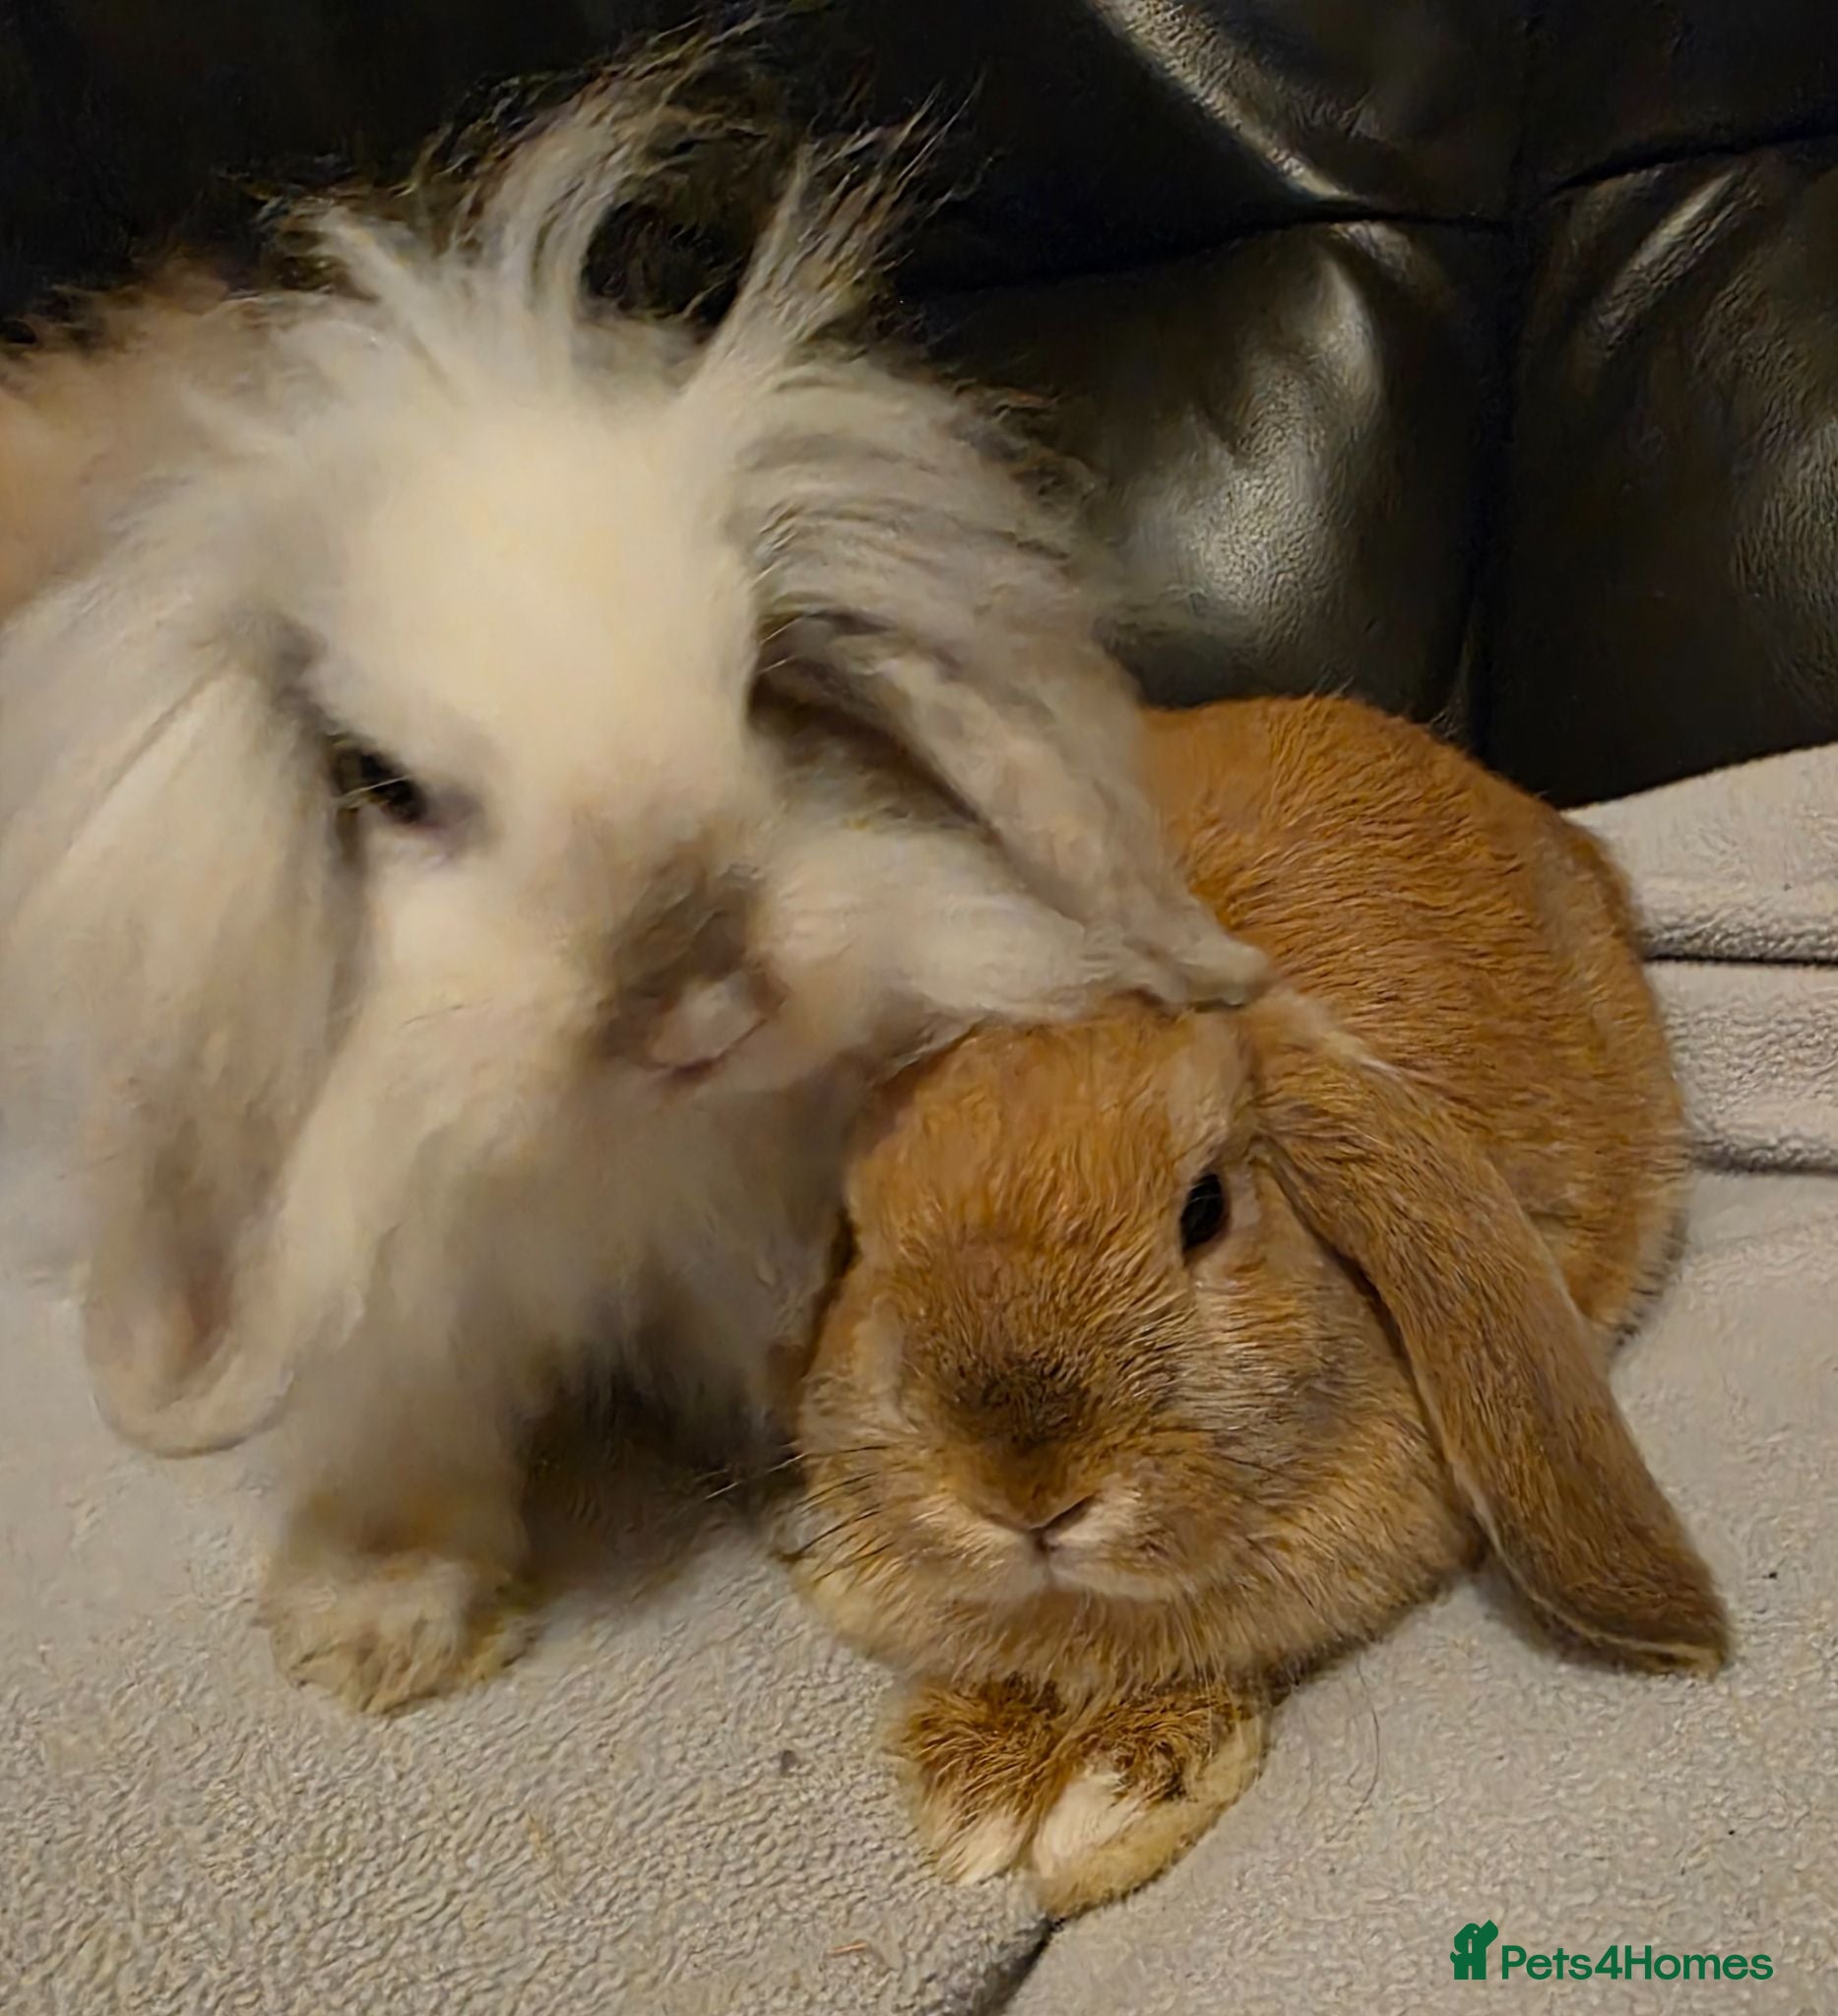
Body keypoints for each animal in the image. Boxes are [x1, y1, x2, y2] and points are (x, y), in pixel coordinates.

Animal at [0, 33, 1266, 1716]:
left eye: (758, 691)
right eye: (386, 787)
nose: (697, 1011)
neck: (629, 1159)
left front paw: (835, 1500)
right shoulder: (393, 1279)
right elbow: (402, 1426)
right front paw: (380, 1625)